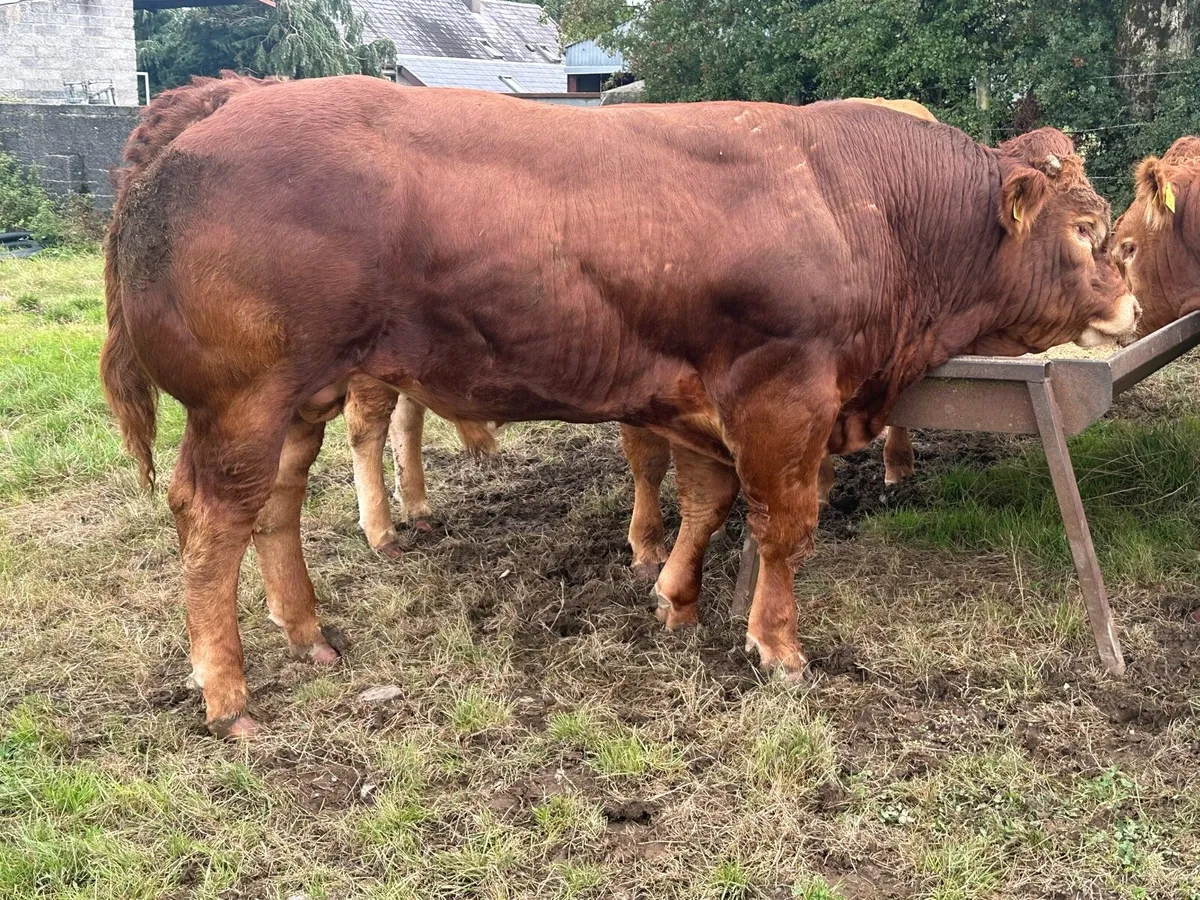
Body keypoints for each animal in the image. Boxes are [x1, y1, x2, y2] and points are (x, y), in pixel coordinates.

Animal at [101, 73, 1138, 736]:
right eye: (1089, 232)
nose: (1130, 306)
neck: (857, 203)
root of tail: (206, 118)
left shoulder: (704, 399)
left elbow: (708, 505)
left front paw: (675, 599)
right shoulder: (783, 391)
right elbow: (783, 524)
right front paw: (777, 645)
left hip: (297, 398)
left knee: (274, 506)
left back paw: (309, 631)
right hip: (241, 400)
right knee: (210, 522)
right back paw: (228, 696)